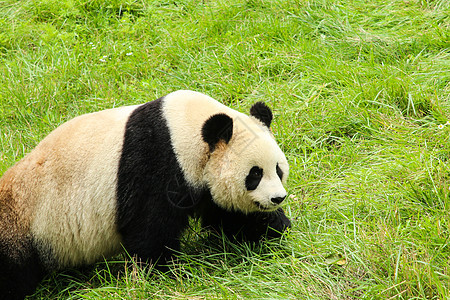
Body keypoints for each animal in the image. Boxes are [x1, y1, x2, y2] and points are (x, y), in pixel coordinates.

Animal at [0, 90, 292, 298]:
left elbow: (227, 212)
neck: (183, 129)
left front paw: (274, 227)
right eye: (254, 174)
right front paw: (160, 272)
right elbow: (151, 226)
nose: (277, 198)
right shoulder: (155, 165)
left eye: (278, 170)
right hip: (24, 221)